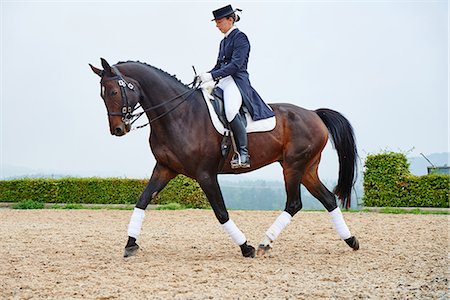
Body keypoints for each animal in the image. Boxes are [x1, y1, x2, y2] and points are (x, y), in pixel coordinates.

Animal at [89, 58, 360, 258]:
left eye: (113, 91)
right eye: (102, 95)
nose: (118, 129)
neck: (179, 115)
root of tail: (314, 114)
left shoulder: (205, 174)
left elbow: (221, 212)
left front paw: (246, 247)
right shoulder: (165, 168)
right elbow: (142, 200)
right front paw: (130, 244)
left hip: (293, 167)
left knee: (294, 203)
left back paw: (264, 243)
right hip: (306, 169)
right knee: (328, 199)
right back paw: (351, 240)